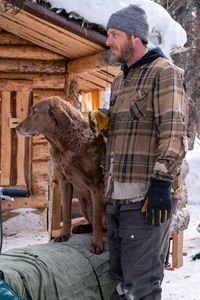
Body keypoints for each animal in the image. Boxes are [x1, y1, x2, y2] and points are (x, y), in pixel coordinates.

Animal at [15, 97, 105, 254]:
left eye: (34, 112)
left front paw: (97, 244)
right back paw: (81, 227)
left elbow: (97, 219)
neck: (64, 144)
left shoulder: (96, 184)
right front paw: (63, 234)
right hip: (83, 203)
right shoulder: (64, 181)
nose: (16, 127)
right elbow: (67, 213)